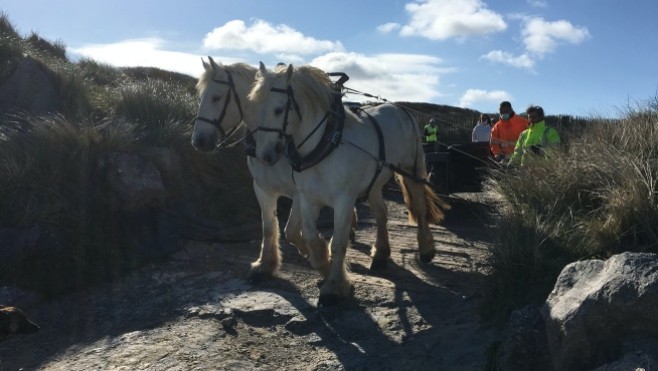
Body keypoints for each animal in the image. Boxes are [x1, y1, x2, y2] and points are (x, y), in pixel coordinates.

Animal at [190, 56, 354, 280]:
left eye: (216, 97)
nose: (198, 141)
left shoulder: (300, 193)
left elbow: (291, 231)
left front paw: (321, 256)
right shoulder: (262, 188)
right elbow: (269, 228)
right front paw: (266, 264)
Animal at [249, 61, 448, 306]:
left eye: (278, 109)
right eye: (254, 108)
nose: (264, 156)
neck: (326, 143)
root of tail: (401, 109)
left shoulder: (343, 200)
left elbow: (339, 243)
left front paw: (334, 286)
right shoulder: (307, 197)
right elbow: (308, 236)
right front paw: (324, 264)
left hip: (411, 168)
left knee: (419, 207)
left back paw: (426, 248)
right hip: (374, 182)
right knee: (381, 213)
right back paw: (381, 254)